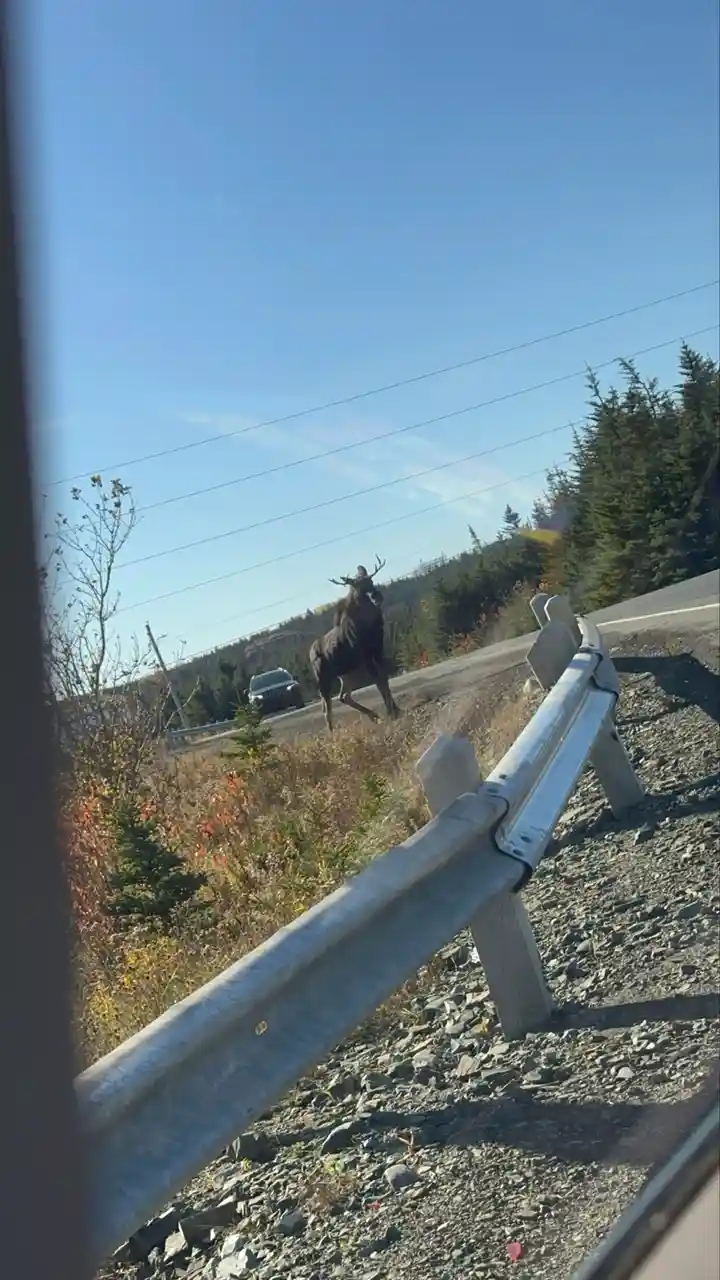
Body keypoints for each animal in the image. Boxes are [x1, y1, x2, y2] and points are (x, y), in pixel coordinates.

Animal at [309, 556, 400, 733]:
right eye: (358, 586)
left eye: (371, 580)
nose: (376, 596)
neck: (371, 625)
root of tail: (309, 654)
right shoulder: (366, 656)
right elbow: (378, 681)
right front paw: (391, 712)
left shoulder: (378, 650)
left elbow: (384, 678)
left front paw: (396, 709)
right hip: (323, 678)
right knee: (326, 708)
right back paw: (333, 734)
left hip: (345, 673)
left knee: (343, 696)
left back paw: (373, 715)